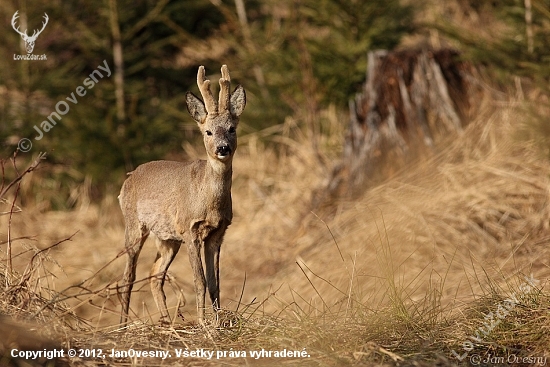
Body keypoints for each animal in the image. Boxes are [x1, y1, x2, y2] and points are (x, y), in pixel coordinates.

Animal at [119, 65, 247, 324]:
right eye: (208, 132)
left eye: (232, 128)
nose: (223, 148)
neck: (208, 201)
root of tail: (128, 178)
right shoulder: (189, 229)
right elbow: (199, 280)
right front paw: (203, 322)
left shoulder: (217, 233)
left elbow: (215, 283)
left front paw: (217, 322)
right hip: (134, 225)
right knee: (128, 277)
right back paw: (123, 326)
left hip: (167, 239)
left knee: (154, 274)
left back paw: (167, 322)